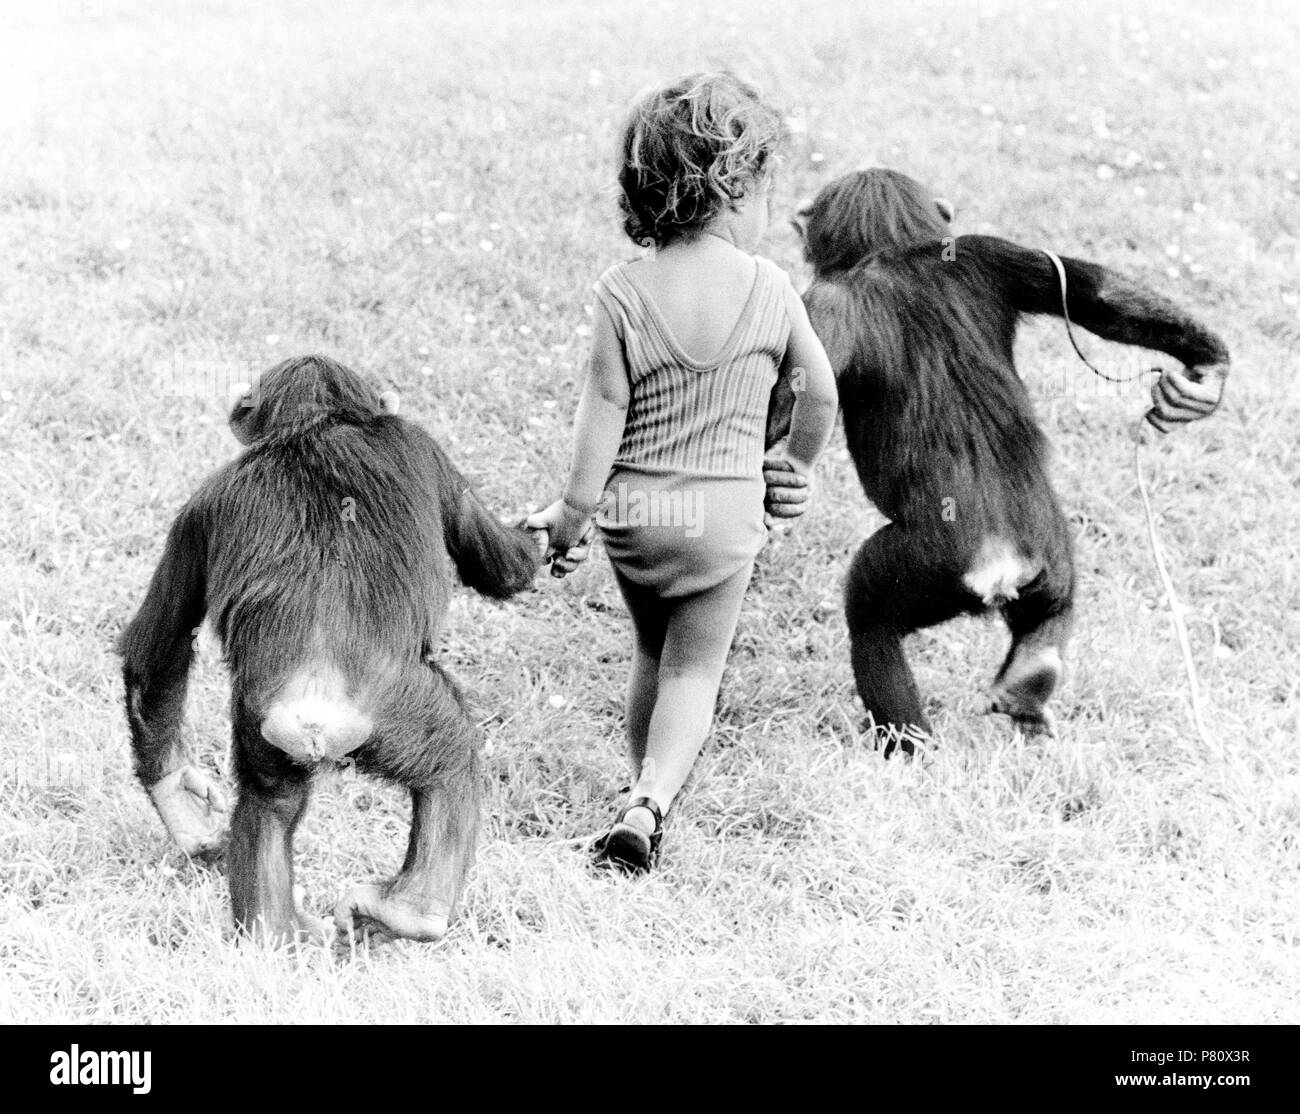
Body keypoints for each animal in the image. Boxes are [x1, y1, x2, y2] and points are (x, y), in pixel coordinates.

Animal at [119, 350, 540, 941]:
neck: (317, 423)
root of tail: (315, 710)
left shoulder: (195, 514)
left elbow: (162, 646)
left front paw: (178, 798)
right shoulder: (425, 448)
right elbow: (500, 561)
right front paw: (544, 537)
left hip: (262, 730)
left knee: (269, 805)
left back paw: (273, 931)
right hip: (402, 715)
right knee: (453, 758)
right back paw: (410, 910)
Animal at [769, 167, 1227, 753]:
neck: (896, 250)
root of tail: (1004, 560)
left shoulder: (824, 303)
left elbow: (788, 399)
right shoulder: (990, 252)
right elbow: (1094, 292)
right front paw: (1210, 367)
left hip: (923, 564)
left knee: (869, 619)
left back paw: (908, 747)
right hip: (1053, 555)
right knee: (1054, 608)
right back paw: (1031, 679)